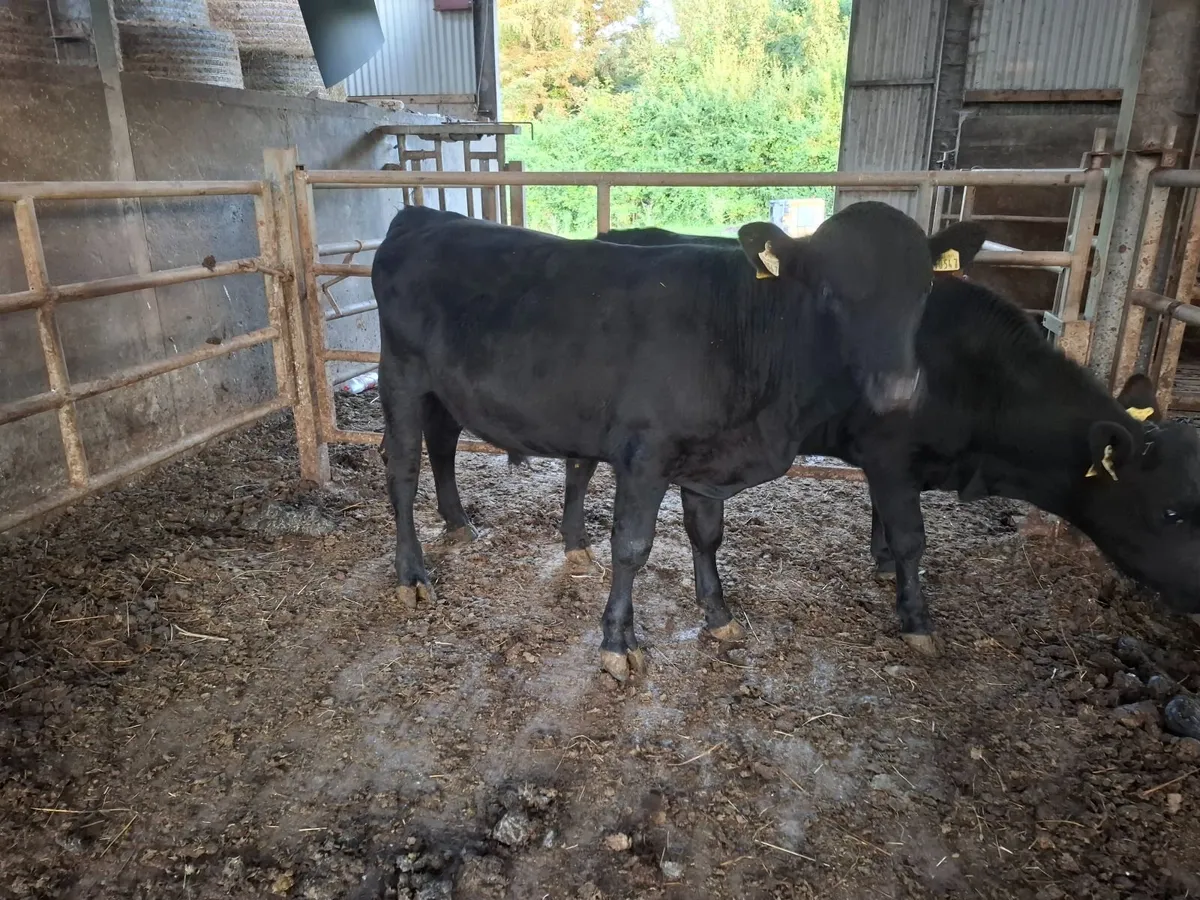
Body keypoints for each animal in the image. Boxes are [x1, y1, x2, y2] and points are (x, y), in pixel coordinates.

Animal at [372, 201, 941, 681]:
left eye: (924, 291)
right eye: (829, 293)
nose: (897, 388)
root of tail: (422, 216)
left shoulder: (706, 461)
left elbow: (706, 535)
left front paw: (718, 614)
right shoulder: (644, 456)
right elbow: (631, 547)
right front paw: (618, 644)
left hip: (445, 391)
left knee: (443, 443)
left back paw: (458, 524)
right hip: (400, 376)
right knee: (402, 470)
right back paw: (412, 576)